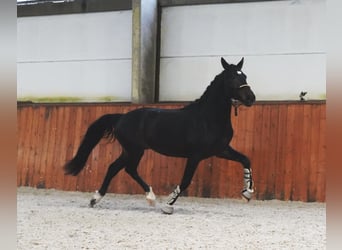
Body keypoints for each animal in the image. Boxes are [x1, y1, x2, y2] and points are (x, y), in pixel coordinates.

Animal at [65, 57, 256, 214]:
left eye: (245, 76)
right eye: (232, 77)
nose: (251, 98)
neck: (208, 118)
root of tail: (121, 117)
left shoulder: (220, 150)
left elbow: (246, 160)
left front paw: (247, 193)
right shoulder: (195, 155)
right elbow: (185, 181)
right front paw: (168, 206)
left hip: (130, 151)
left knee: (115, 168)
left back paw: (96, 199)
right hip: (135, 150)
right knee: (128, 169)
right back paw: (150, 197)